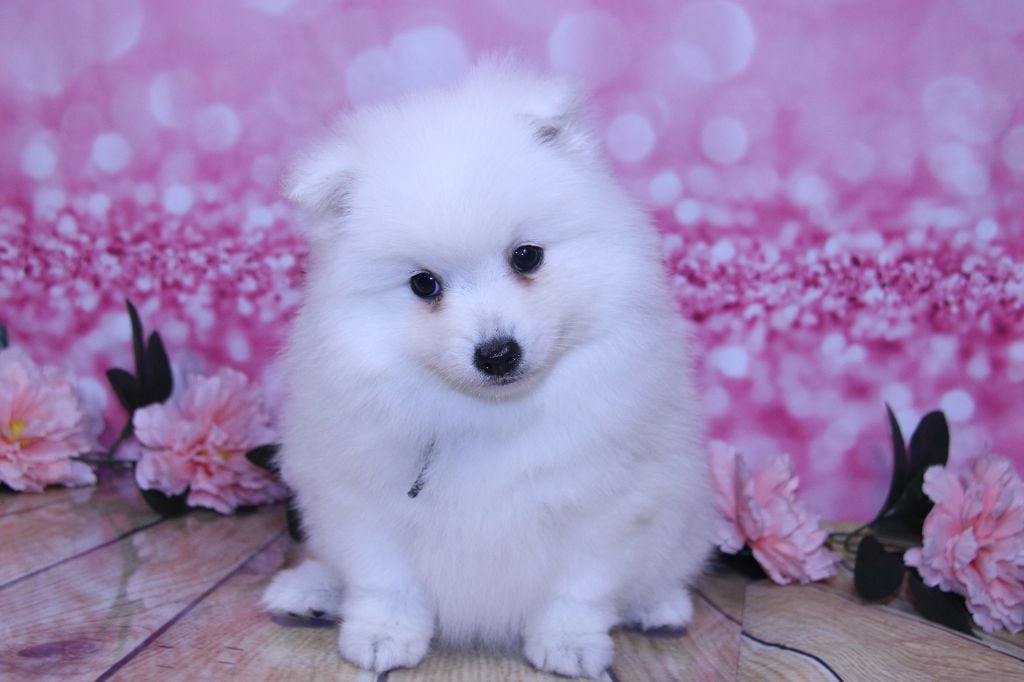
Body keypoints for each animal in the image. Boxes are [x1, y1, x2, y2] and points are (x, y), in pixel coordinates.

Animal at [262, 60, 713, 679]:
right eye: (423, 284)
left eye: (526, 256)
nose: (498, 353)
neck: (490, 413)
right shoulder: (362, 500)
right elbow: (385, 580)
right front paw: (383, 635)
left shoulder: (606, 503)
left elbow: (580, 587)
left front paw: (569, 643)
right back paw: (310, 590)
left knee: (661, 570)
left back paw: (659, 605)